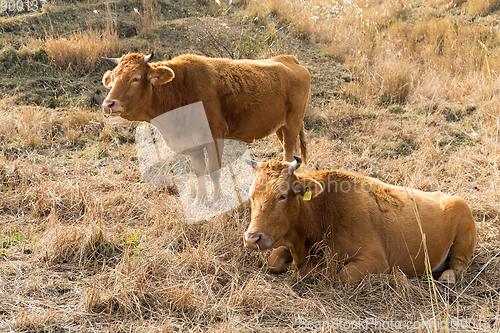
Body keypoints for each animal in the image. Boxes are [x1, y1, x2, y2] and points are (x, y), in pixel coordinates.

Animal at [102, 52, 308, 202]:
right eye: (113, 78)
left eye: (135, 78)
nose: (108, 104)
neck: (180, 89)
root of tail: (289, 59)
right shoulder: (193, 145)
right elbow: (199, 171)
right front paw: (200, 199)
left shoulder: (215, 138)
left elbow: (213, 170)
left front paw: (216, 199)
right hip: (281, 127)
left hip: (292, 123)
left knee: (289, 152)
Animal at [242, 157, 476, 284]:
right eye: (252, 196)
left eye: (282, 195)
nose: (252, 238)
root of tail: (450, 197)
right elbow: (274, 260)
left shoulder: (375, 260)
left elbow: (342, 275)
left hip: (462, 230)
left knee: (459, 265)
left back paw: (447, 277)